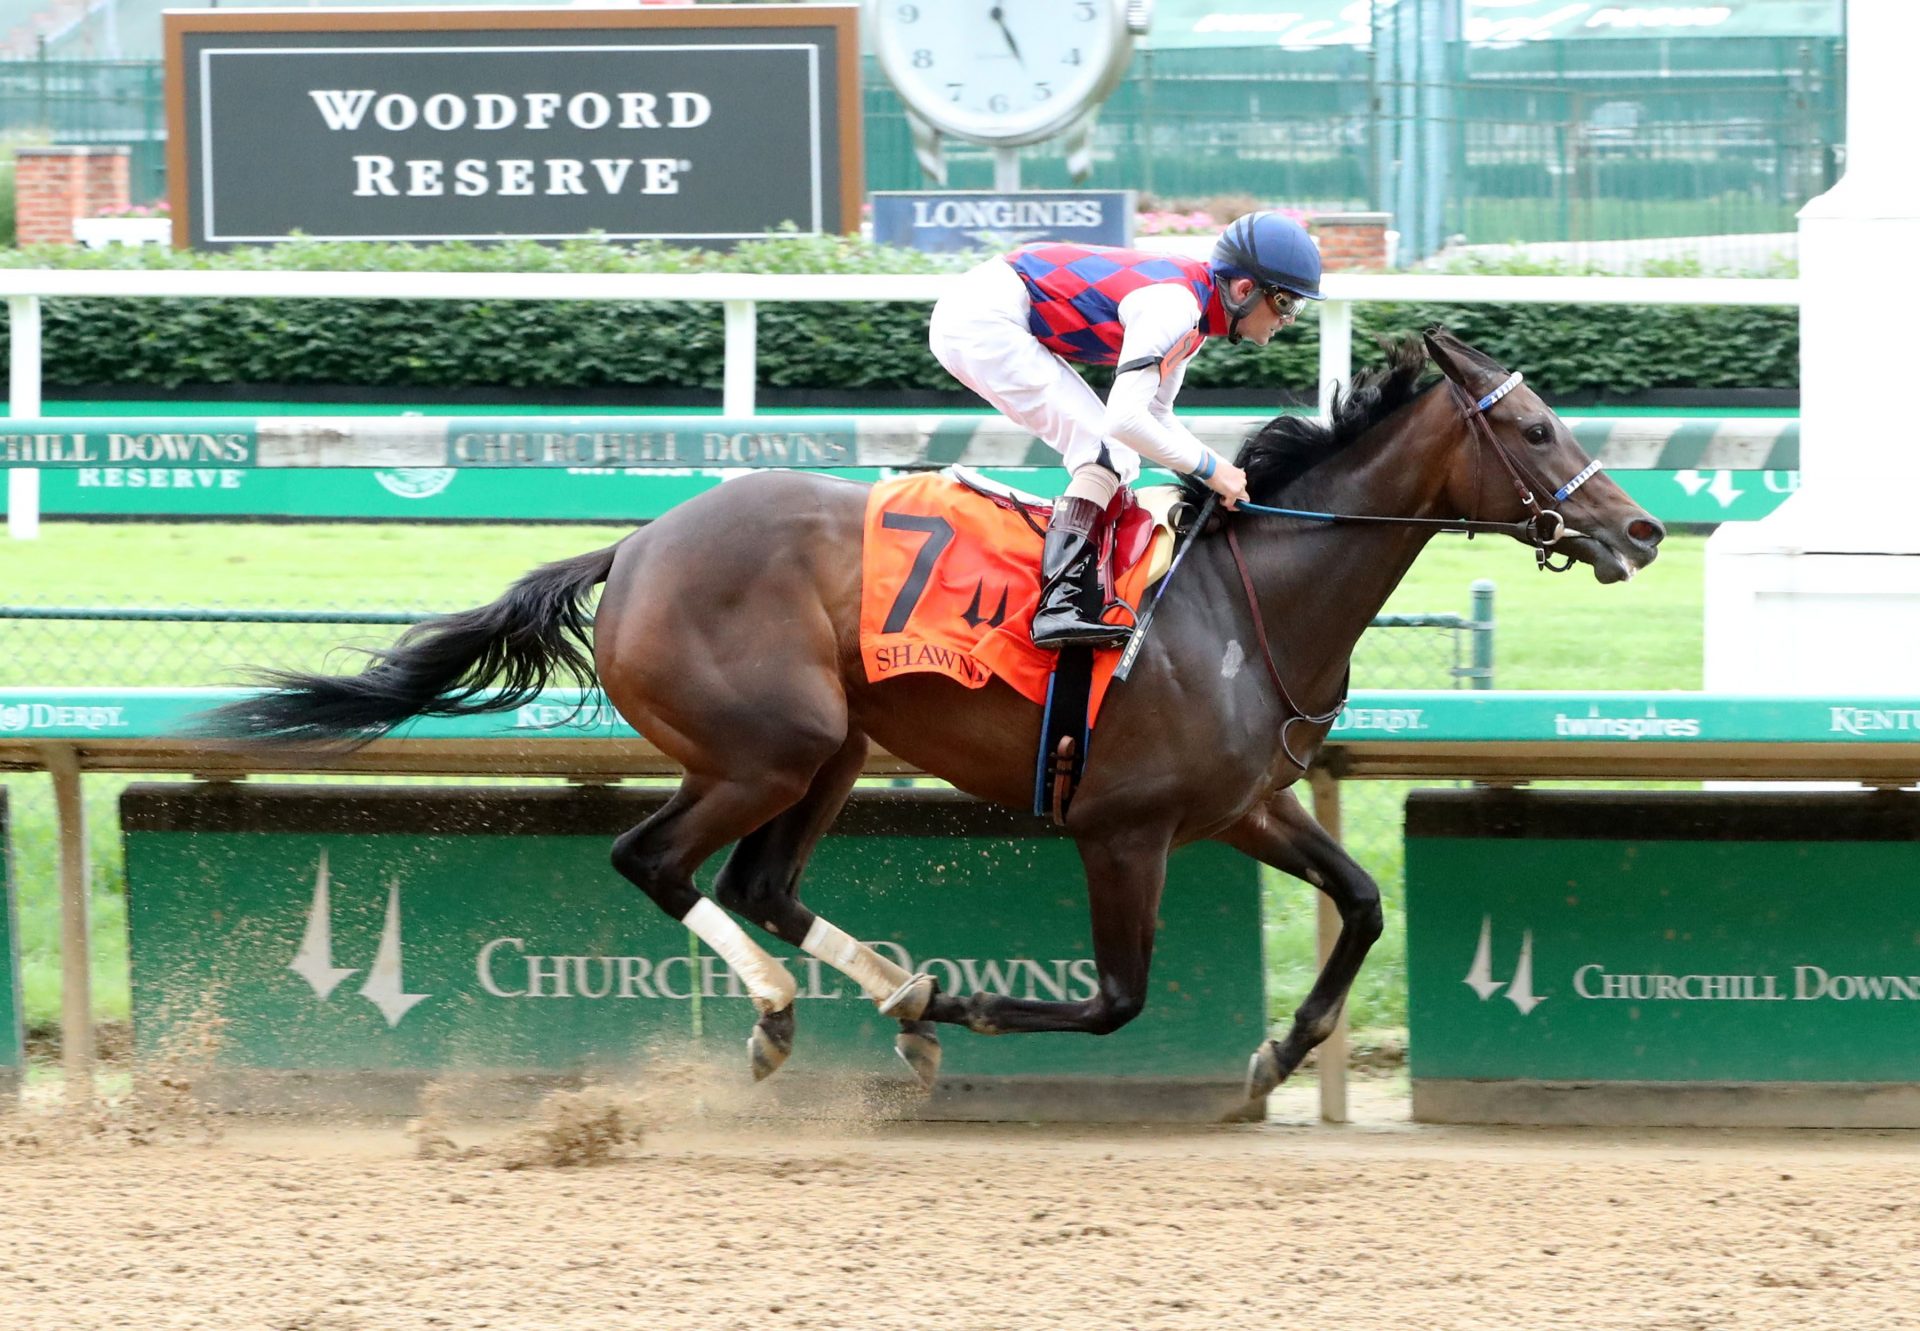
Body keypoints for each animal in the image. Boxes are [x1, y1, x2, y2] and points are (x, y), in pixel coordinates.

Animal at [202, 330, 1658, 1098]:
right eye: (1534, 428)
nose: (1640, 528)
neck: (1248, 602)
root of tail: (639, 539)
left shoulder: (1242, 803)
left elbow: (1358, 901)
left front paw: (1279, 1051)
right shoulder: (1122, 829)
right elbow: (1115, 997)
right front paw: (973, 1006)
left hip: (839, 744)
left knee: (762, 881)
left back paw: (885, 985)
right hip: (768, 742)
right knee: (656, 859)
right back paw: (795, 1007)